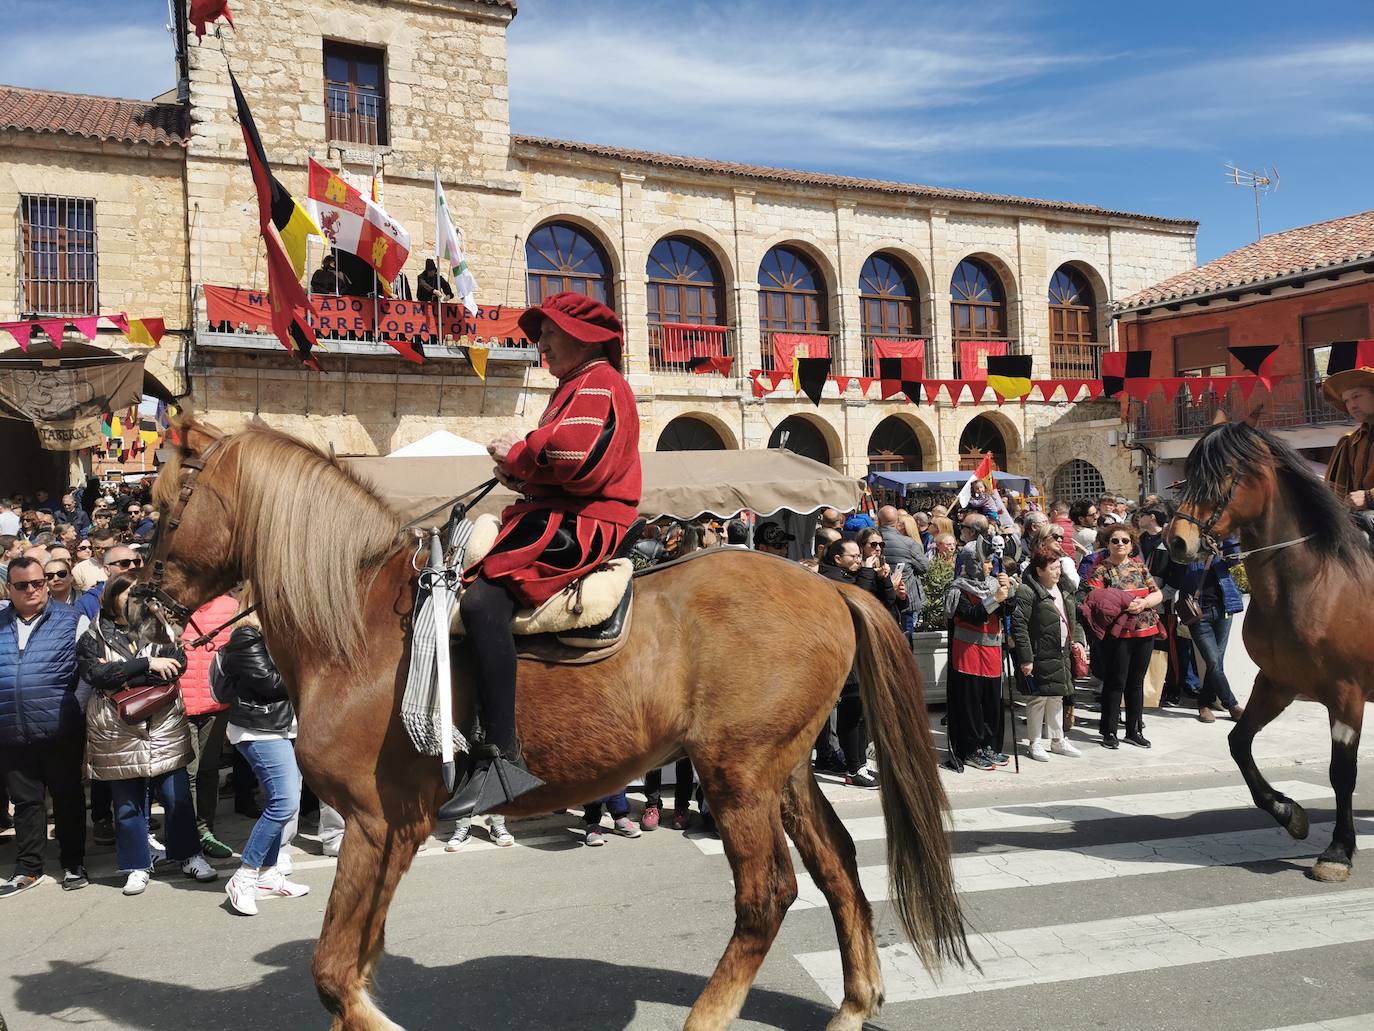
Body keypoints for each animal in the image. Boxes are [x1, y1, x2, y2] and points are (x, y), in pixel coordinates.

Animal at [129, 420, 967, 1031]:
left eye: (167, 504)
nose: (140, 604)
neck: (357, 627)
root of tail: (828, 586)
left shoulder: (376, 822)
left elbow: (335, 973)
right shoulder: (389, 833)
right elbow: (351, 964)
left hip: (740, 777)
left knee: (767, 895)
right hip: (783, 770)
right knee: (839, 868)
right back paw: (854, 1002)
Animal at [1170, 415, 1374, 885]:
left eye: (1225, 474)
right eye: (1188, 473)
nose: (1178, 541)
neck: (1317, 581)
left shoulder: (1347, 694)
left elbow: (1342, 772)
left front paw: (1338, 851)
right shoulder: (1277, 683)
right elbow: (1238, 742)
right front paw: (1288, 812)